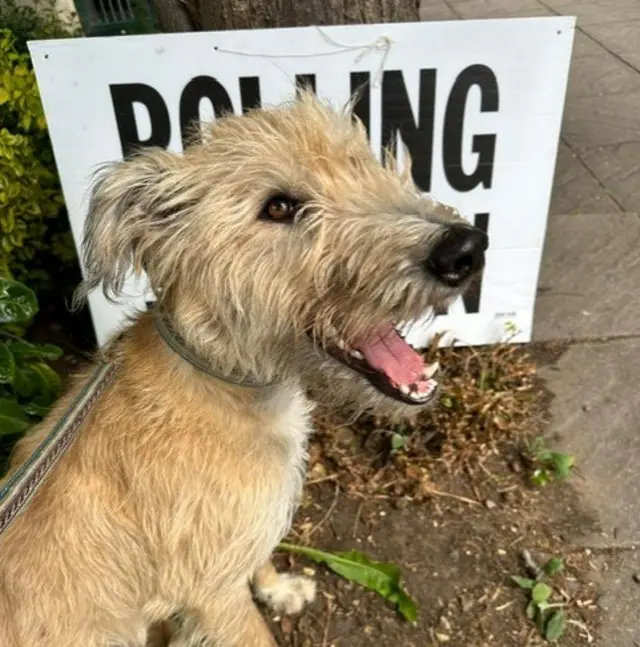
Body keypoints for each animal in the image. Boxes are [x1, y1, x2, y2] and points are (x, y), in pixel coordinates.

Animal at [0, 92, 484, 647]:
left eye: (359, 163)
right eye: (279, 207)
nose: (464, 249)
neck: (230, 380)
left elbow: (261, 559)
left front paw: (277, 588)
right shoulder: (211, 594)